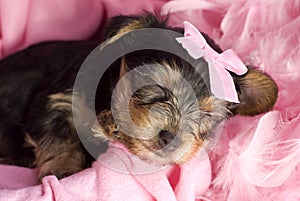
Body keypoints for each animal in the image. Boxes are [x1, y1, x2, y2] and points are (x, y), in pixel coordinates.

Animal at [0, 13, 278, 181]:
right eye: (155, 87)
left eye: (206, 116)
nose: (170, 139)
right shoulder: (58, 99)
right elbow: (59, 133)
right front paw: (63, 169)